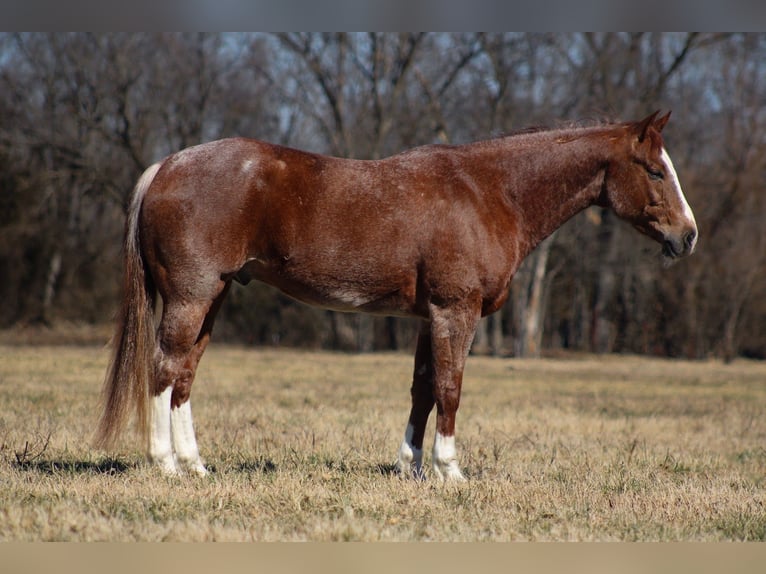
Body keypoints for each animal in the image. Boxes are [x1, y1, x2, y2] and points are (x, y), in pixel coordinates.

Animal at [95, 111, 697, 481]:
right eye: (654, 170)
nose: (687, 236)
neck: (488, 191)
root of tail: (166, 166)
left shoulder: (429, 317)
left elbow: (423, 390)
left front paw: (413, 466)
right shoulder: (455, 312)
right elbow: (451, 389)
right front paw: (451, 470)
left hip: (213, 299)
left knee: (184, 376)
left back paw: (195, 464)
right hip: (191, 298)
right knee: (164, 368)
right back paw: (165, 463)